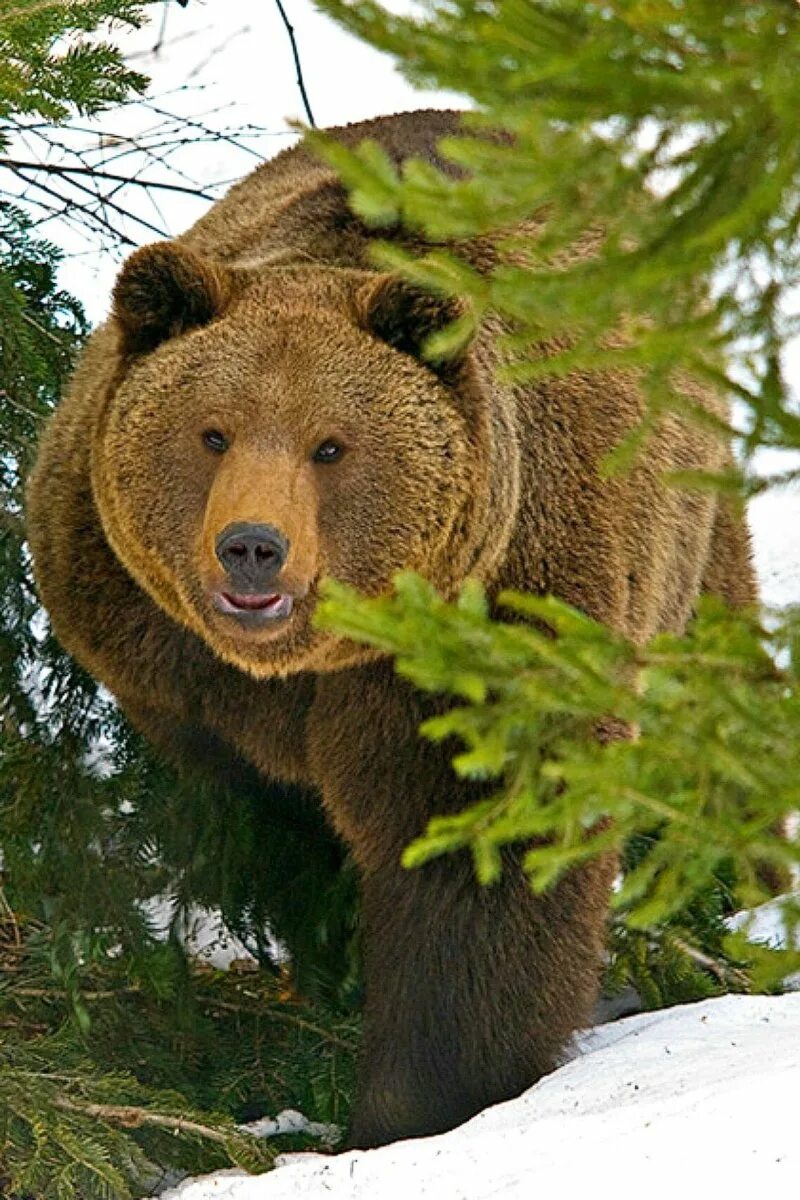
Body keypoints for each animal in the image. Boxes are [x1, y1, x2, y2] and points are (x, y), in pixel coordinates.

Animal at [25, 108, 758, 1147]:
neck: (314, 663)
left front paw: (423, 1097)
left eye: (331, 446)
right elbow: (280, 828)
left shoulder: (497, 626)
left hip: (689, 541)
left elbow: (477, 860)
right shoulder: (172, 668)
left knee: (713, 712)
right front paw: (329, 951)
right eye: (212, 432)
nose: (252, 548)